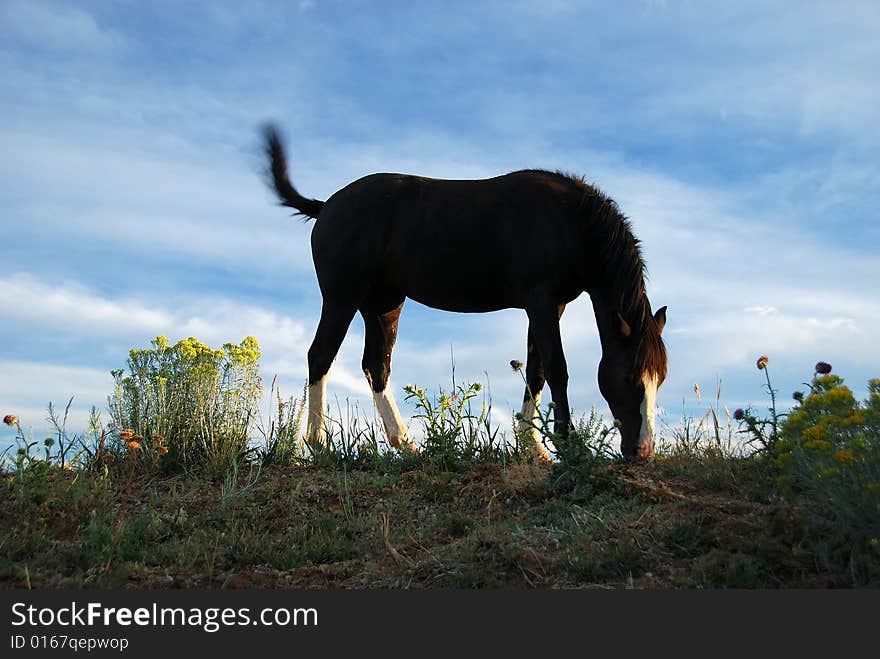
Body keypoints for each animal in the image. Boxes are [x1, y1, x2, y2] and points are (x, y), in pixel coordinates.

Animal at [262, 126, 668, 462]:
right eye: (632, 378)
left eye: (659, 378)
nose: (643, 450)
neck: (569, 221)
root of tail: (325, 205)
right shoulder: (541, 302)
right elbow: (557, 368)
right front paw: (568, 447)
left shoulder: (551, 306)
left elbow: (535, 371)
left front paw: (533, 447)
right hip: (341, 299)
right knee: (321, 356)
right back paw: (319, 444)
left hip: (383, 304)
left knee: (376, 365)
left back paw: (406, 445)